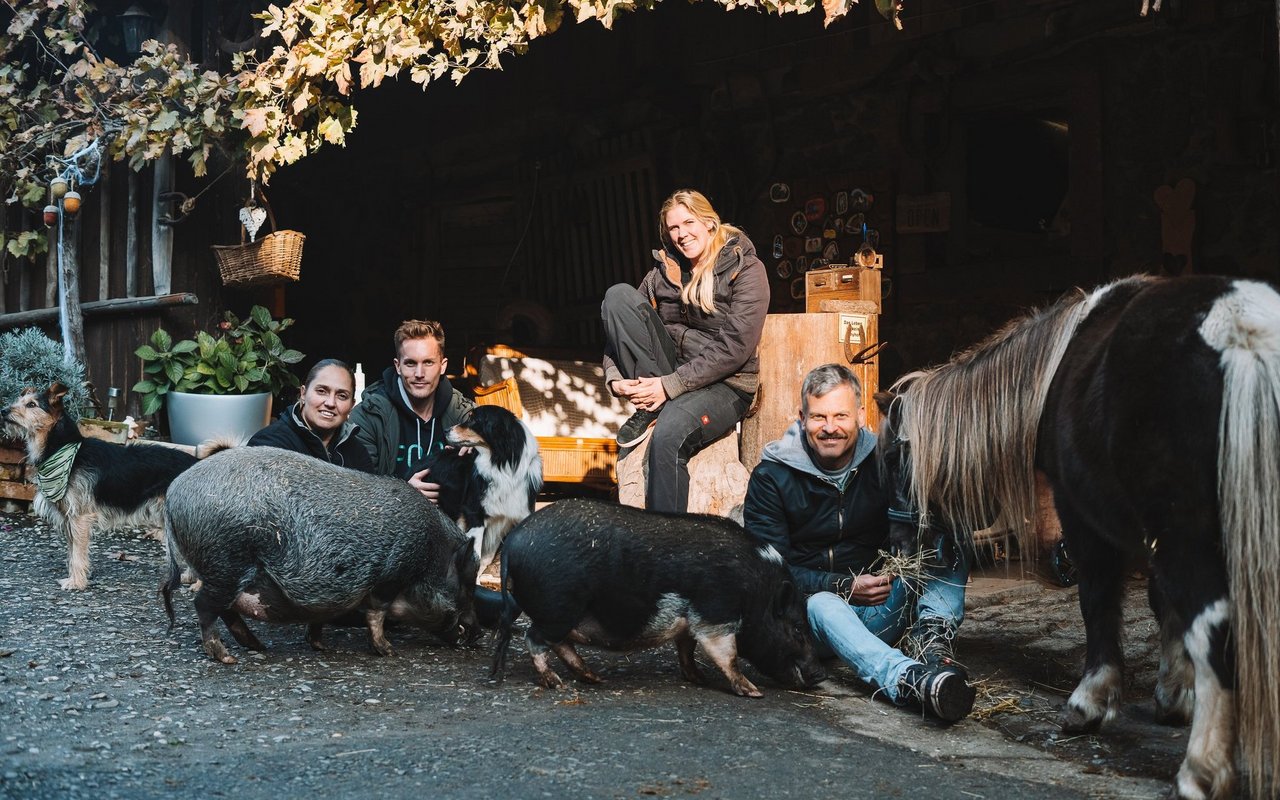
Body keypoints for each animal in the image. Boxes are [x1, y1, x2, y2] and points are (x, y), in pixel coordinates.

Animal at [2, 381, 197, 586]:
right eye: (19, 400)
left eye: (31, 405)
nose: (3, 411)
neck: (62, 448)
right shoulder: (68, 518)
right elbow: (72, 552)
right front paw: (76, 577)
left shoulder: (79, 517)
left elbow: (78, 554)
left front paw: (76, 583)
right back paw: (189, 578)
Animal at [161, 450, 481, 660]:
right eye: (465, 585)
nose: (477, 633)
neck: (432, 553)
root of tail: (173, 494)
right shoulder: (391, 574)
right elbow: (377, 614)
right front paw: (388, 652)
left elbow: (322, 616)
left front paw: (323, 647)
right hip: (225, 562)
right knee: (203, 605)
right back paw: (226, 657)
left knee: (224, 610)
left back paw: (258, 646)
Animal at [419, 404, 540, 573]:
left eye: (473, 420)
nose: (446, 431)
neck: (503, 466)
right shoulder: (474, 513)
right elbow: (474, 555)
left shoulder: (513, 514)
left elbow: (487, 557)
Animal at [488, 499, 819, 691]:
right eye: (797, 629)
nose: (819, 674)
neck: (757, 593)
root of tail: (513, 543)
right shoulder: (716, 613)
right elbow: (727, 655)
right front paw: (752, 691)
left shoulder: (689, 623)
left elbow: (687, 649)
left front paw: (698, 679)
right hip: (558, 608)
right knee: (533, 637)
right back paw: (556, 684)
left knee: (557, 642)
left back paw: (595, 678)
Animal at [875, 276, 1280, 798]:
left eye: (891, 459)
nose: (899, 547)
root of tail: (1242, 333)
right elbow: (1162, 603)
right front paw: (1173, 694)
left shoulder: (1083, 516)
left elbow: (1098, 599)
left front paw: (1089, 703)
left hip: (1189, 538)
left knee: (1215, 632)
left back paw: (1201, 770)